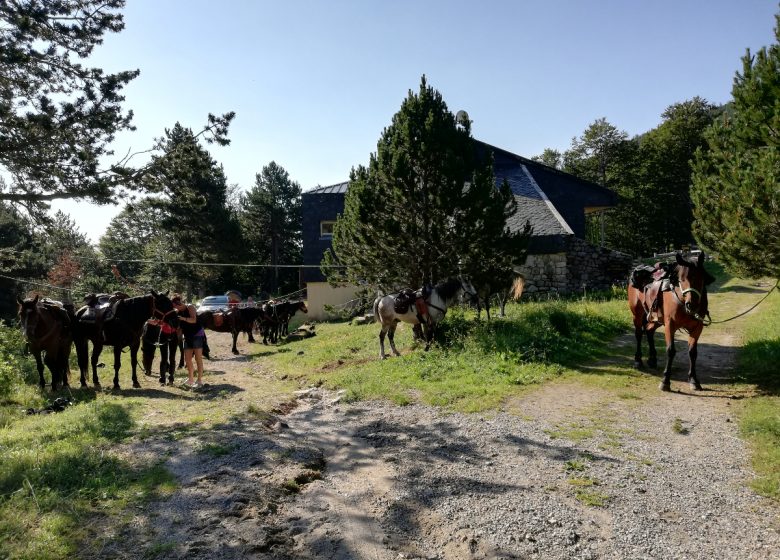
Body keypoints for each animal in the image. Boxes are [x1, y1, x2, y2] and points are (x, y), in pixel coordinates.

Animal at [628, 252, 712, 392]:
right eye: (681, 279)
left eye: (701, 278)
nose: (692, 305)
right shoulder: (670, 325)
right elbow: (671, 351)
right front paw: (665, 381)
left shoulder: (697, 327)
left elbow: (693, 352)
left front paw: (693, 380)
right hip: (637, 315)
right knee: (639, 334)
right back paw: (638, 360)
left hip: (656, 319)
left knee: (649, 331)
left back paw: (652, 359)